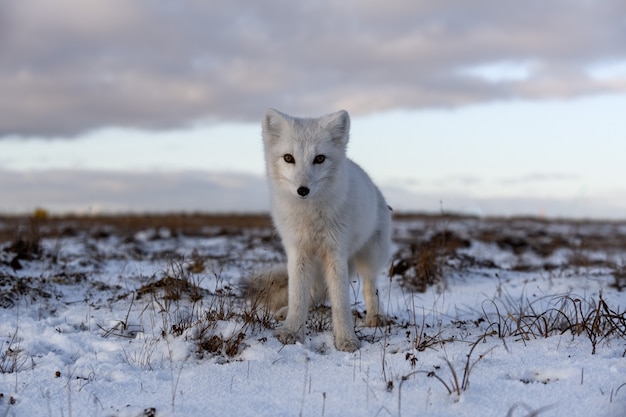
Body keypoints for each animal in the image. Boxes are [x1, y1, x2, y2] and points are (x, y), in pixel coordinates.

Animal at [255, 108, 390, 352]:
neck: (310, 217)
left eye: (319, 158)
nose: (302, 190)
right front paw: (292, 331)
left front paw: (346, 339)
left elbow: (340, 301)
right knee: (315, 292)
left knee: (370, 286)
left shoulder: (336, 251)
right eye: (288, 158)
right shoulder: (298, 251)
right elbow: (298, 295)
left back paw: (375, 317)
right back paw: (285, 312)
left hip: (370, 255)